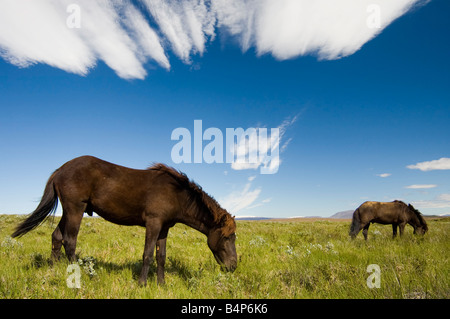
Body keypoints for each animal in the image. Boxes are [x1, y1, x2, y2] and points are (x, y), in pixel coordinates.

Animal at [10, 156, 237, 286]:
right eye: (228, 237)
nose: (233, 266)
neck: (176, 193)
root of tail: (60, 169)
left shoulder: (164, 228)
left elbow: (161, 256)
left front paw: (161, 284)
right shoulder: (153, 223)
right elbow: (147, 255)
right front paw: (142, 284)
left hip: (69, 211)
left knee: (57, 237)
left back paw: (53, 271)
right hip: (75, 209)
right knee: (70, 241)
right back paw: (81, 275)